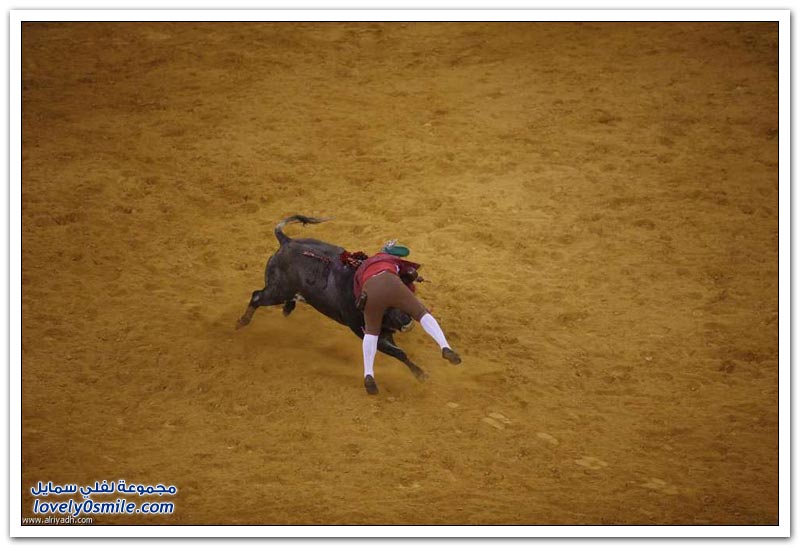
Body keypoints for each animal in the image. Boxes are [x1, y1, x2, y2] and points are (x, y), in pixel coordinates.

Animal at [235, 215, 430, 382]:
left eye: (403, 292)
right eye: (384, 303)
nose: (407, 321)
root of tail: (286, 241)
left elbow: (399, 352)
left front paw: (419, 373)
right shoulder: (367, 332)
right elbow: (399, 353)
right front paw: (420, 374)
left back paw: (287, 309)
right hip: (277, 291)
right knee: (256, 297)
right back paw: (242, 322)